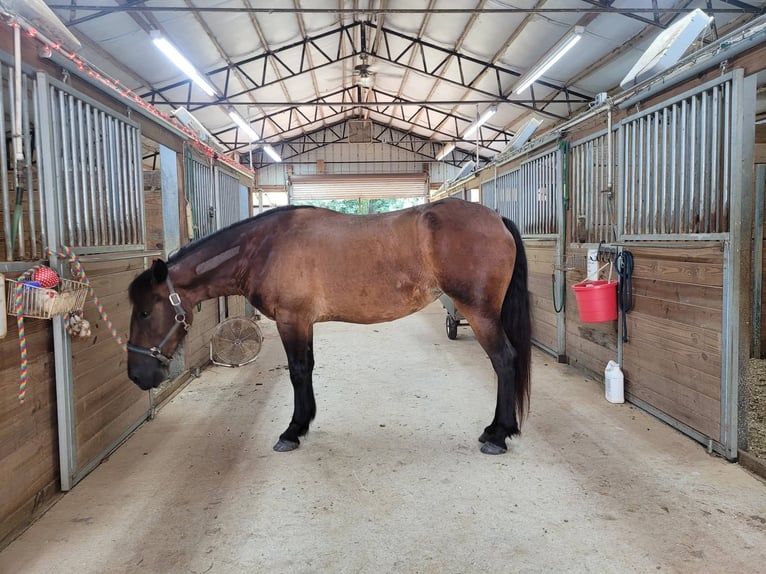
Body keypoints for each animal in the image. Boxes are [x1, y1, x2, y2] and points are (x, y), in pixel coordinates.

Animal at [127, 197, 531, 455]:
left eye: (145, 312)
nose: (137, 375)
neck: (265, 247)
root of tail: (497, 219)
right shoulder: (302, 322)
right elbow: (306, 369)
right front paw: (303, 423)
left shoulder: (291, 320)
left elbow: (297, 371)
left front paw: (292, 431)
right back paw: (495, 430)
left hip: (480, 313)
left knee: (504, 360)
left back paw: (498, 434)